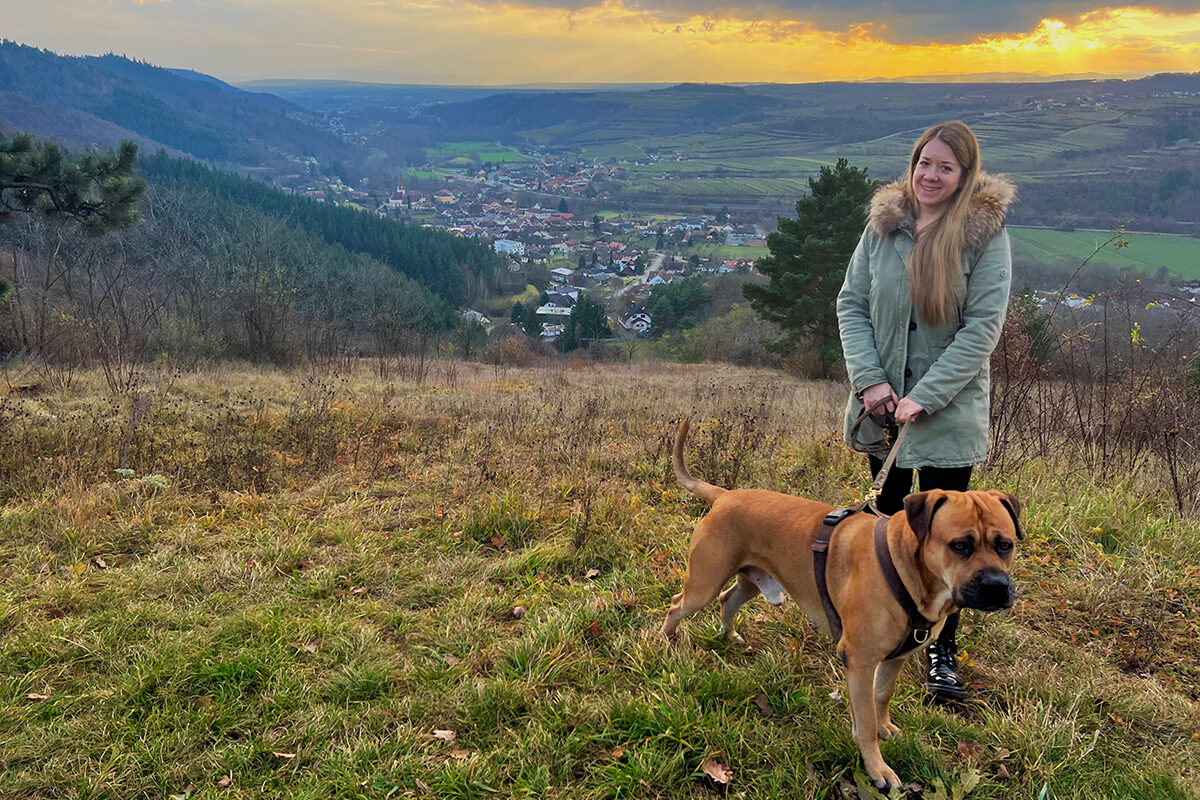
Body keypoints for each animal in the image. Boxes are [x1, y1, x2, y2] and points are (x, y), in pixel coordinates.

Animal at [657, 422, 1022, 791]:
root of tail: (724, 495)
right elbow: (866, 723)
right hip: (704, 583)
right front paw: (877, 769)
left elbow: (882, 696)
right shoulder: (859, 661)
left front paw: (885, 725)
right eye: (959, 545)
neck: (909, 569)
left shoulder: (895, 657)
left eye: (1005, 545)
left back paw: (729, 635)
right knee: (676, 605)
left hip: (750, 581)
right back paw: (667, 640)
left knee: (727, 599)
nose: (996, 587)